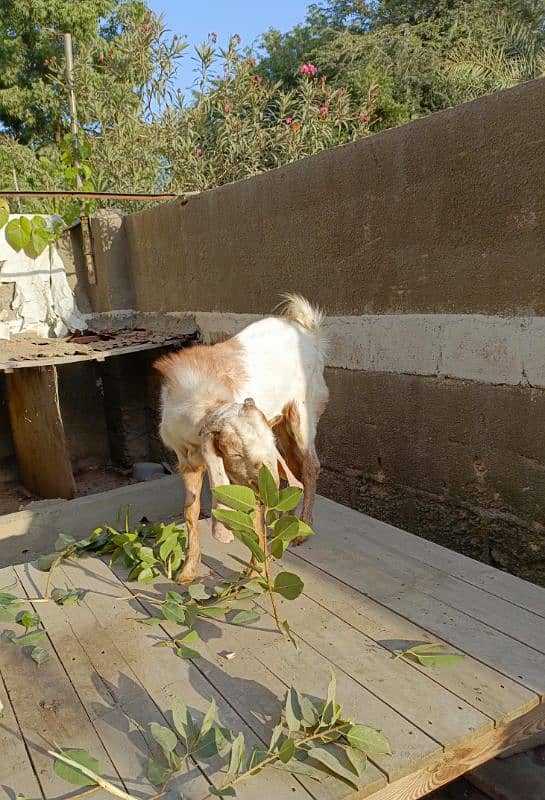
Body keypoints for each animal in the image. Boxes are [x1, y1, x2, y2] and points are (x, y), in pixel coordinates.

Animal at [155, 294, 330, 580]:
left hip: (303, 412)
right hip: (283, 425)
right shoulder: (187, 460)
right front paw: (187, 572)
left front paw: (254, 571)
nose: (270, 487)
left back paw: (302, 531)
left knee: (309, 466)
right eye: (235, 452)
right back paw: (285, 522)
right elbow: (190, 511)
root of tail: (306, 327)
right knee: (295, 470)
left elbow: (253, 512)